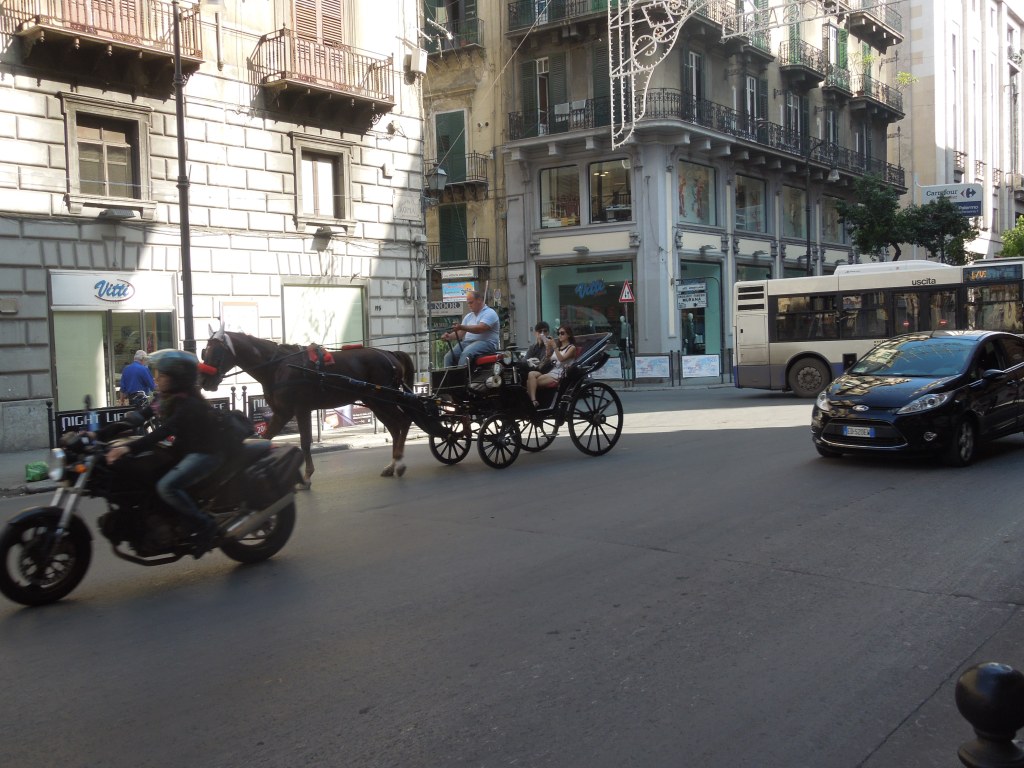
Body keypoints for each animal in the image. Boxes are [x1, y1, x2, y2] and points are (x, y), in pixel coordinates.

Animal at [198, 328, 415, 486]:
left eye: (217, 351)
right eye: (204, 350)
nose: (203, 381)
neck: (276, 366)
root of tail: (389, 354)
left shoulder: (300, 409)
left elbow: (304, 442)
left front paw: (307, 475)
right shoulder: (282, 413)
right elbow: (266, 438)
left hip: (382, 399)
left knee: (403, 422)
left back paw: (399, 463)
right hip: (375, 402)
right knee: (395, 427)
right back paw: (392, 465)